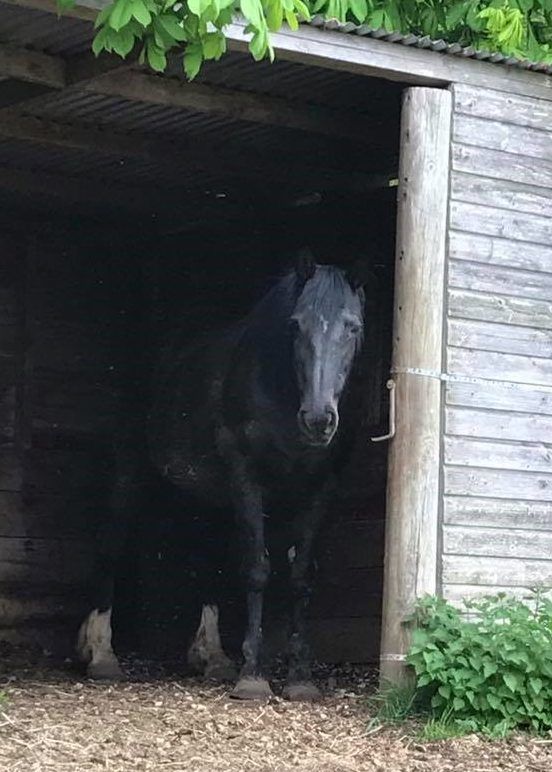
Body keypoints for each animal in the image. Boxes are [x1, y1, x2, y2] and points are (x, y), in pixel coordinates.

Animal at [76, 249, 369, 701]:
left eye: (352, 326)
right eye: (295, 325)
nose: (319, 419)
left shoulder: (322, 487)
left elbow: (300, 575)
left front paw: (300, 680)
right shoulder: (247, 476)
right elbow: (256, 568)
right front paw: (252, 678)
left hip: (205, 492)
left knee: (206, 556)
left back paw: (212, 657)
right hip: (130, 467)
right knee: (111, 543)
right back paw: (102, 655)